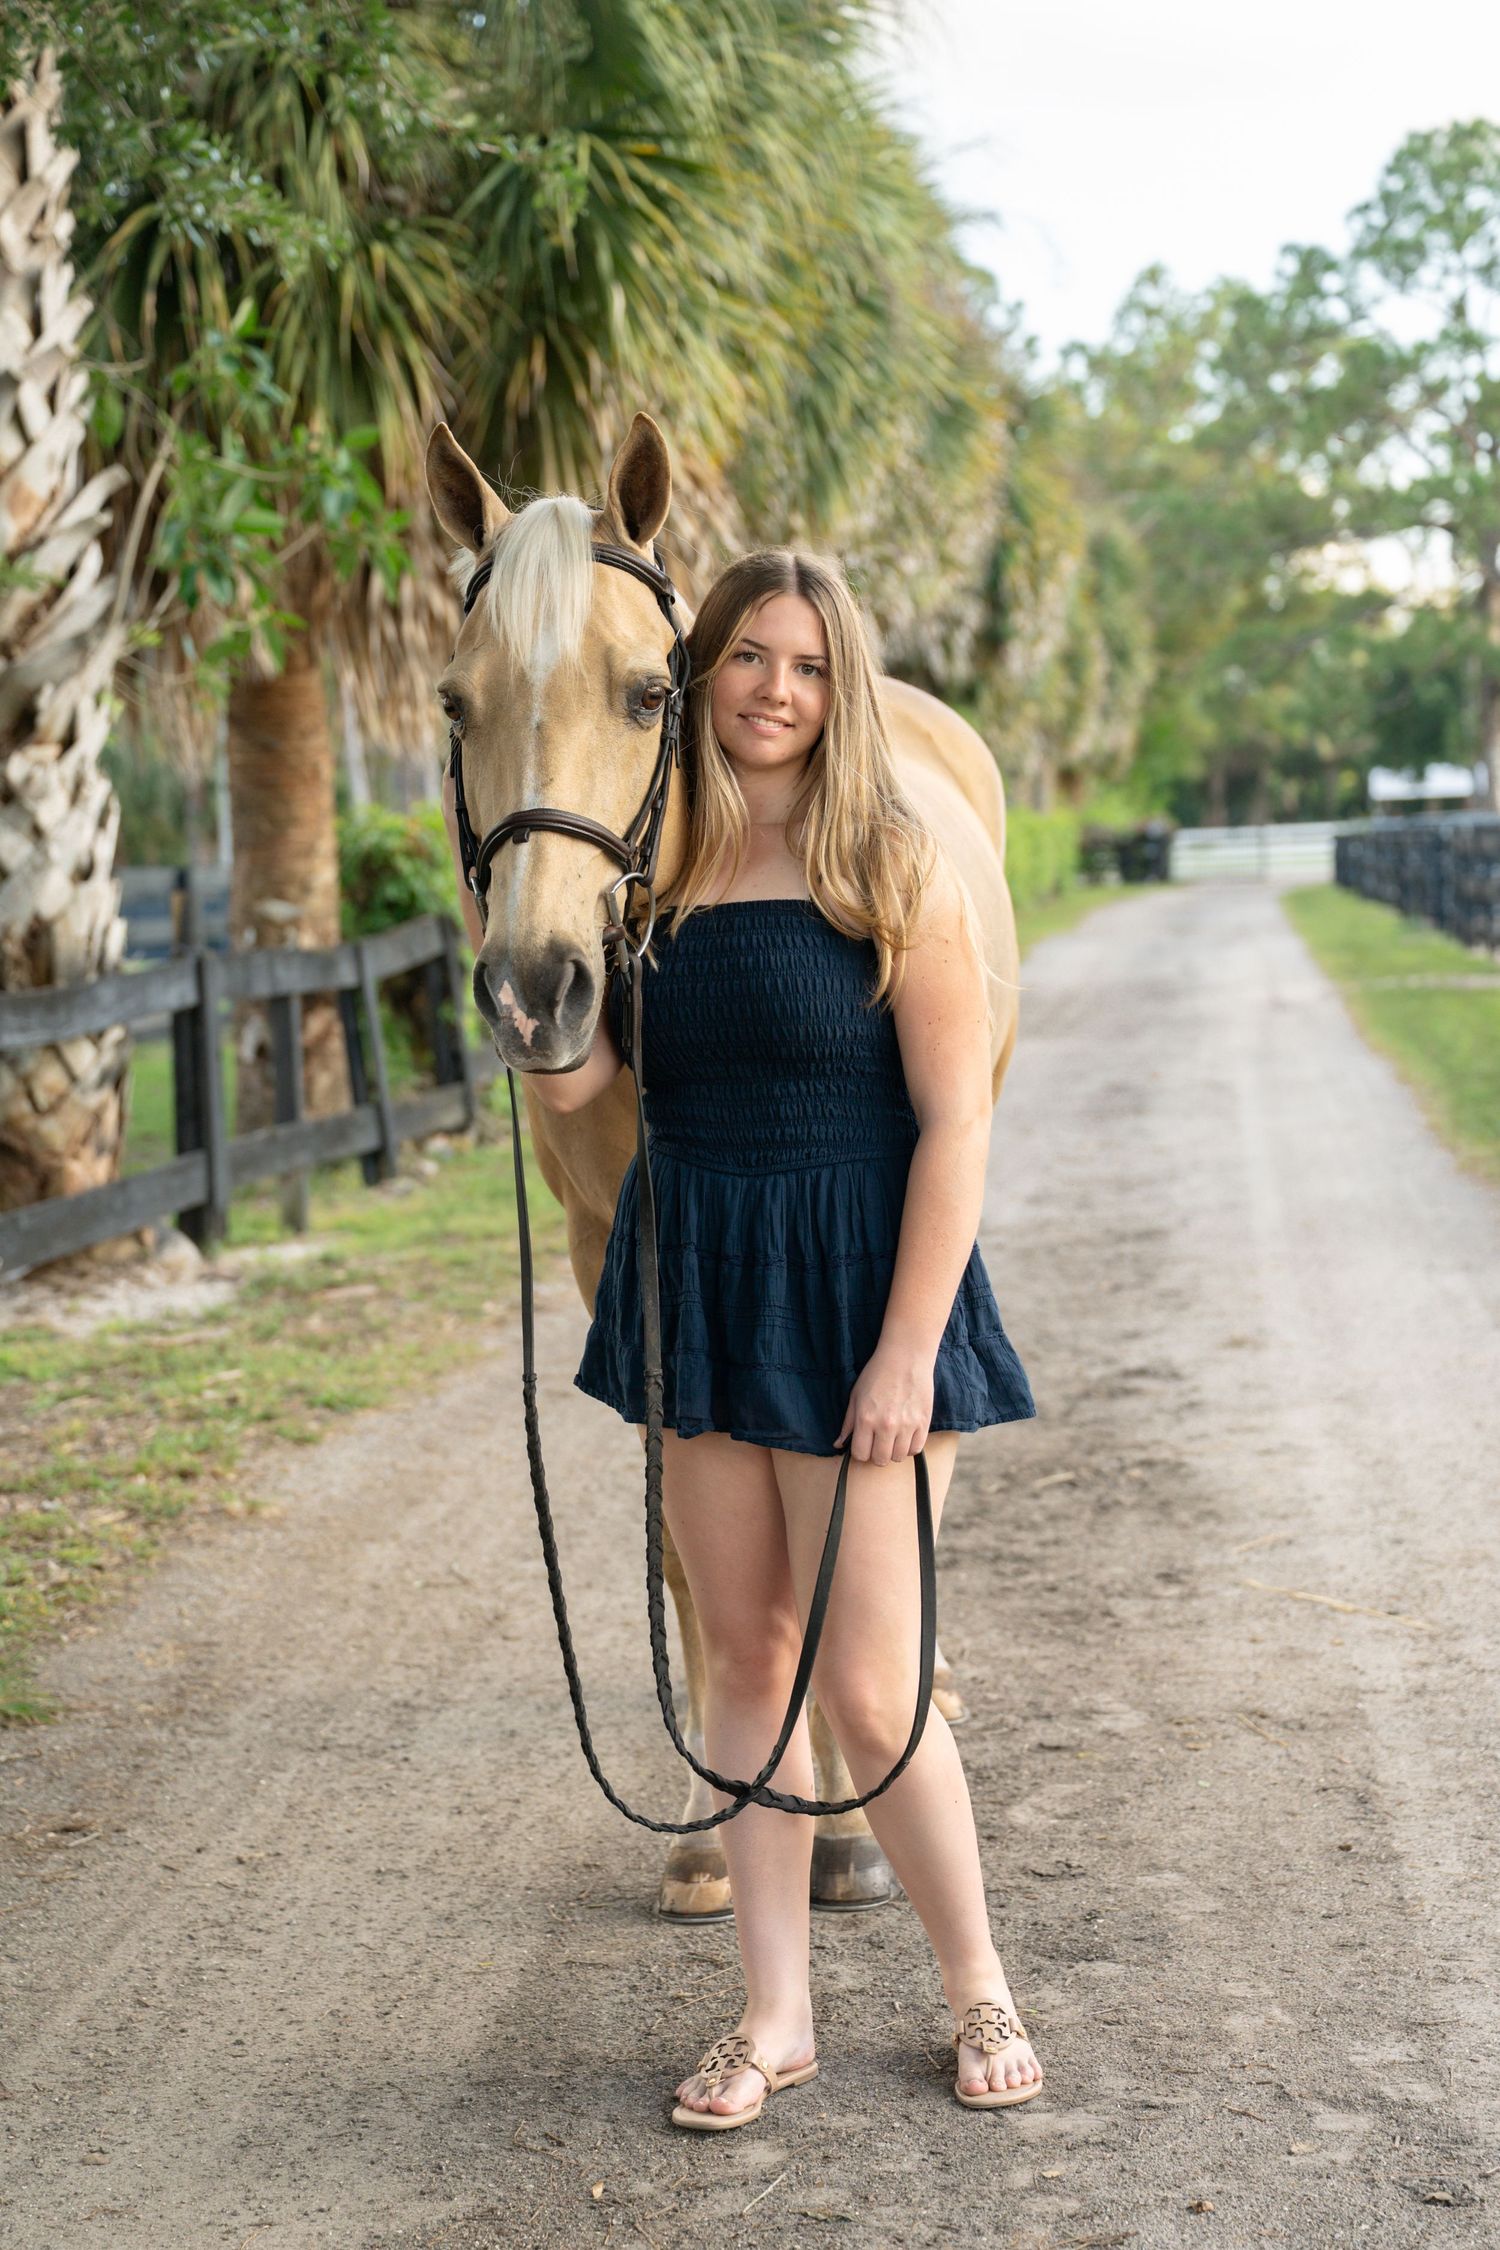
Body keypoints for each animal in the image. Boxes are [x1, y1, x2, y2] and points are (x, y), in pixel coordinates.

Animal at [426, 411, 1021, 1919]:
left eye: (651, 693)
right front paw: (712, 1828)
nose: (534, 993)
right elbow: (691, 1554)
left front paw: (846, 1827)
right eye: (454, 706)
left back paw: (921, 1687)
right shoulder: (618, 1257)